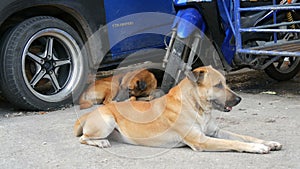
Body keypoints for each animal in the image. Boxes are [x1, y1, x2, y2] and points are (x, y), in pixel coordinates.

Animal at [74, 66, 282, 154]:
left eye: (226, 83)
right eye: (218, 85)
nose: (239, 99)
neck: (196, 106)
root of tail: (88, 114)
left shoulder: (215, 132)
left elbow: (244, 137)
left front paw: (268, 142)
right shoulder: (201, 140)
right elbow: (234, 142)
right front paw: (257, 148)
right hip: (107, 121)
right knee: (84, 138)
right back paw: (100, 142)